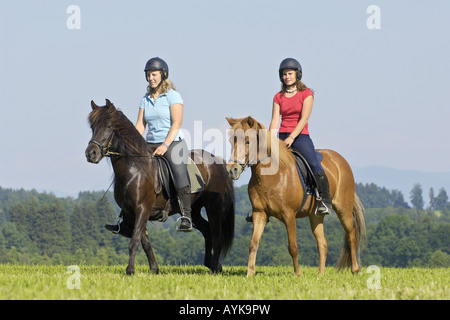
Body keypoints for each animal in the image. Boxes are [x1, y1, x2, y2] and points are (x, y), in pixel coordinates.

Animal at [84, 100, 236, 276]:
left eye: (109, 126)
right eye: (92, 127)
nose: (91, 154)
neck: (135, 169)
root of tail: (218, 161)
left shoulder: (142, 208)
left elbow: (135, 241)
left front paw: (130, 271)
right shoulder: (131, 212)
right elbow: (145, 241)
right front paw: (154, 269)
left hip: (213, 207)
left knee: (217, 235)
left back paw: (214, 268)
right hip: (195, 209)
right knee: (207, 232)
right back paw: (211, 264)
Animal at [225, 116, 366, 276]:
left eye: (248, 141)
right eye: (231, 141)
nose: (232, 170)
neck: (270, 176)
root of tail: (341, 161)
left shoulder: (289, 215)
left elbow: (293, 247)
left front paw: (297, 274)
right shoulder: (259, 213)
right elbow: (253, 243)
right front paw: (249, 273)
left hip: (343, 210)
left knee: (351, 235)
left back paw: (355, 270)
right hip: (315, 216)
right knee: (322, 243)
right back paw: (320, 274)